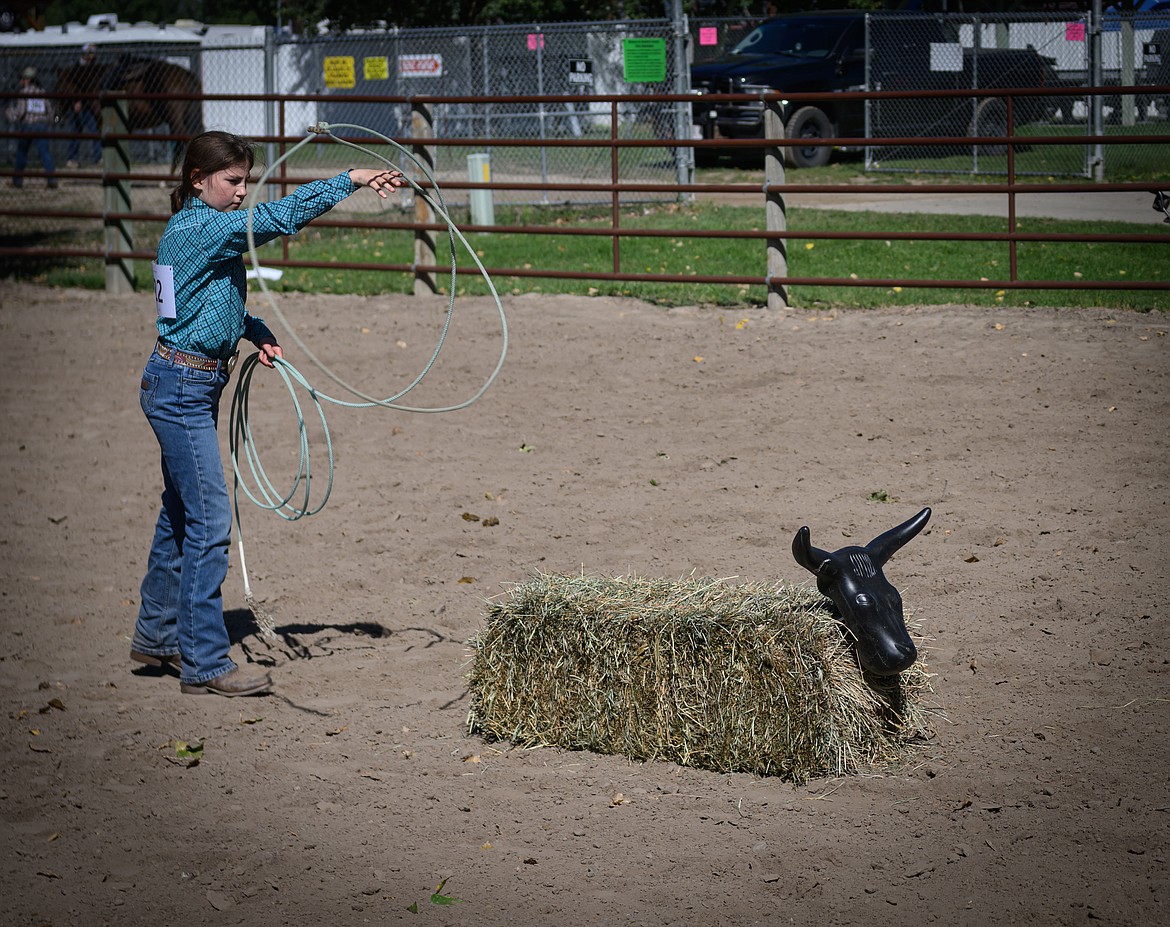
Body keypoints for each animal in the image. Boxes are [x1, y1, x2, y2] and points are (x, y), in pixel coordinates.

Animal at [55, 56, 204, 170]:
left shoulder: (102, 124)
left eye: (59, 87)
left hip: (175, 119)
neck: (96, 82)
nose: (57, 118)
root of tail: (187, 74)